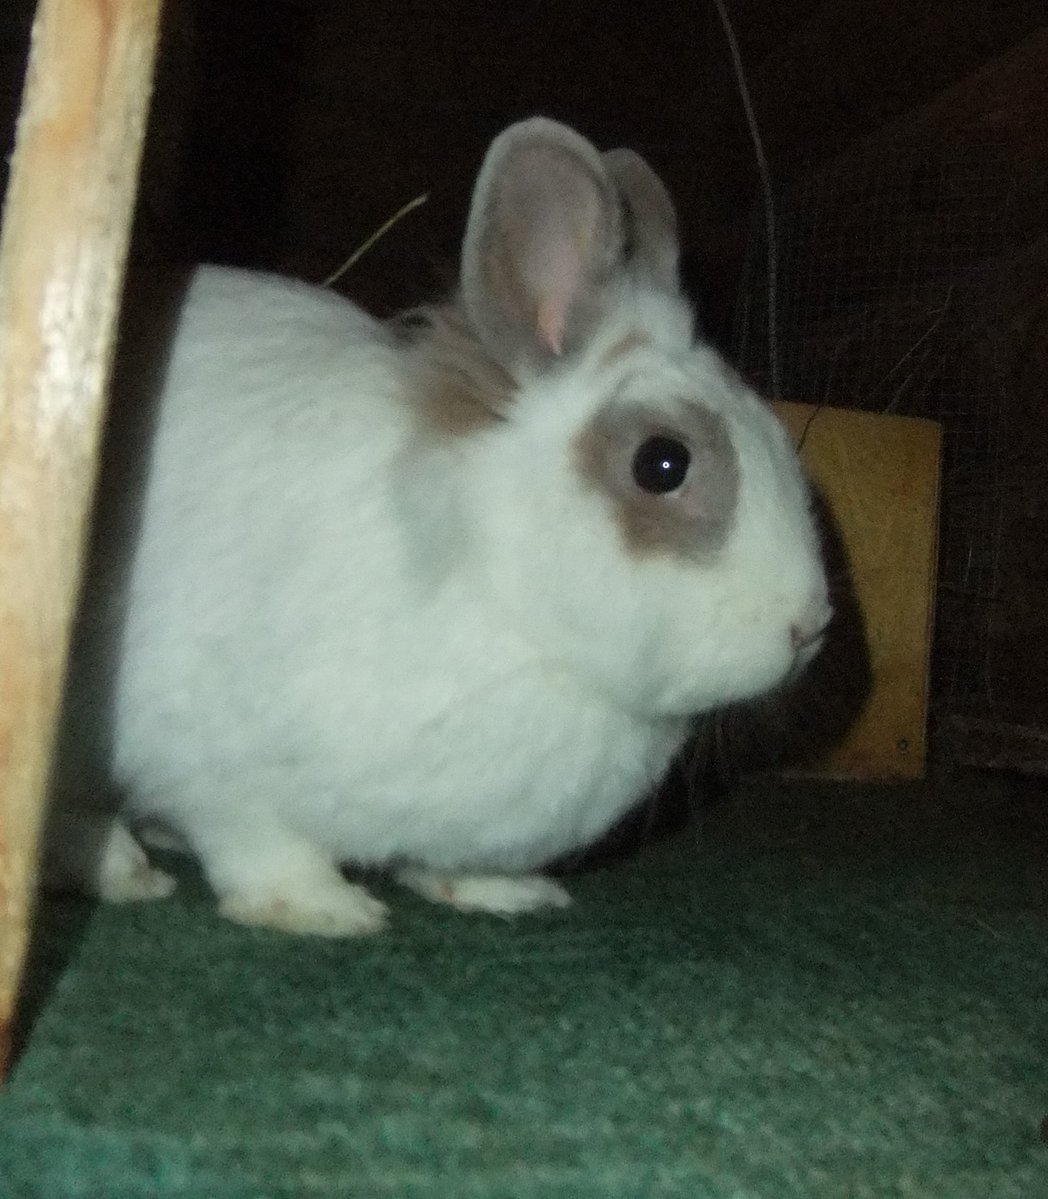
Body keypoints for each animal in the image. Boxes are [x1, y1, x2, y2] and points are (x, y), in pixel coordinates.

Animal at [44, 117, 831, 936]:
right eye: (662, 463)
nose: (810, 627)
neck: (502, 592)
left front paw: (504, 893)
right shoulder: (216, 759)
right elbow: (260, 844)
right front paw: (326, 911)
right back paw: (124, 871)